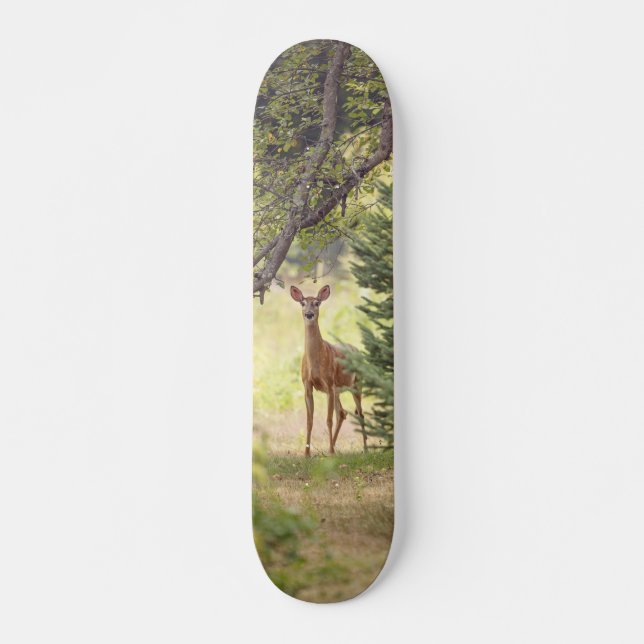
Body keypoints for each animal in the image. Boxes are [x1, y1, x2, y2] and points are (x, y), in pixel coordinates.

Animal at [290, 284, 366, 457]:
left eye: (317, 303)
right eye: (302, 303)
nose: (309, 314)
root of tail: (357, 350)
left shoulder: (329, 383)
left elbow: (328, 420)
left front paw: (330, 452)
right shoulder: (307, 385)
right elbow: (309, 420)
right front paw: (307, 453)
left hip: (356, 384)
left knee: (360, 414)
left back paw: (365, 448)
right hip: (338, 390)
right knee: (342, 413)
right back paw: (333, 447)